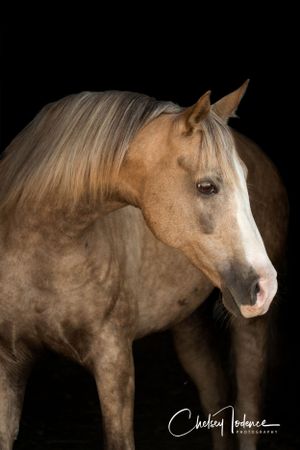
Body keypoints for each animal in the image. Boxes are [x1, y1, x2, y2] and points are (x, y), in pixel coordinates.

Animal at [0, 82, 284, 448]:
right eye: (207, 186)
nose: (265, 285)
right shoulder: (8, 363)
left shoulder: (114, 359)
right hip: (188, 324)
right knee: (215, 395)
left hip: (251, 328)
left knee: (247, 408)